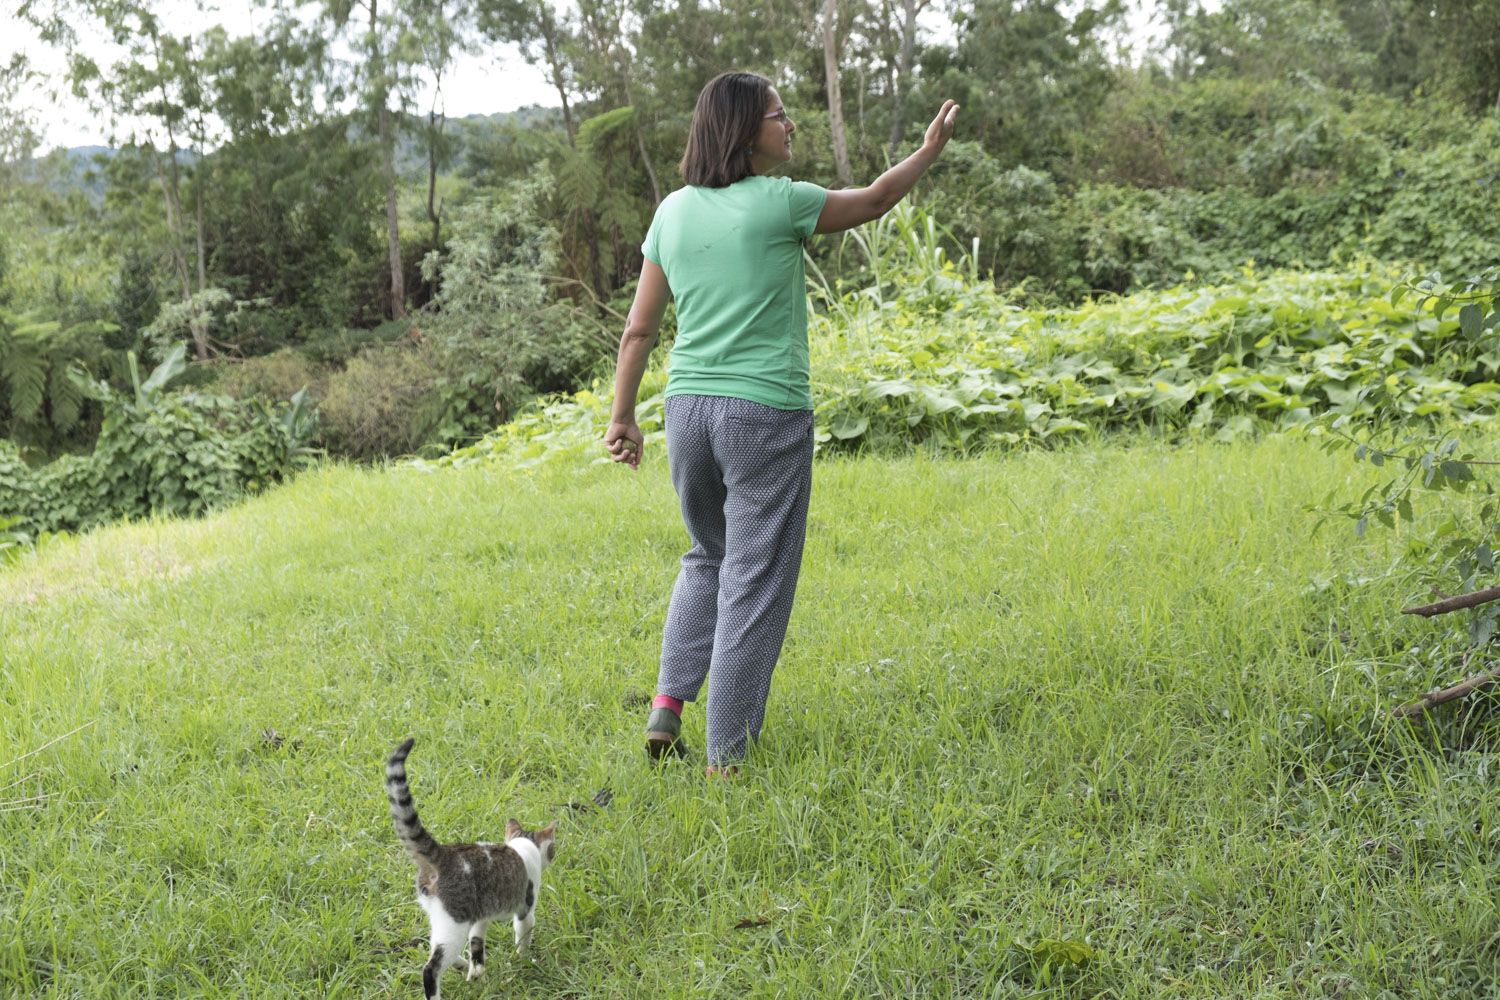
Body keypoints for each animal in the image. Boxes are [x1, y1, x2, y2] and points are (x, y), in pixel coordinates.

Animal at [384, 734, 555, 1000]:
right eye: (553, 849)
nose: (553, 856)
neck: (522, 844)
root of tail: (444, 854)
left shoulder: (480, 916)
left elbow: (477, 941)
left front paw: (477, 970)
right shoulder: (525, 905)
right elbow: (524, 932)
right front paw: (524, 958)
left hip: (440, 916)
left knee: (438, 950)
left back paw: (463, 965)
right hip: (455, 921)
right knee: (431, 968)